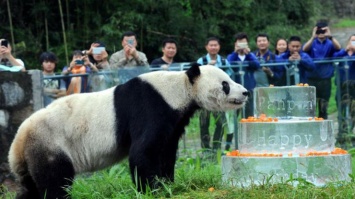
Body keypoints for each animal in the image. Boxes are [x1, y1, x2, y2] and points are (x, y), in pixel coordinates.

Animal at [7, 63, 248, 197]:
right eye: (225, 84)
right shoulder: (150, 105)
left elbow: (166, 150)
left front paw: (168, 183)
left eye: (230, 79)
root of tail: (17, 142)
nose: (245, 92)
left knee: (30, 187)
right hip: (50, 143)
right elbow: (143, 151)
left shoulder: (173, 119)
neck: (180, 88)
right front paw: (152, 190)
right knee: (55, 180)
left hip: (33, 154)